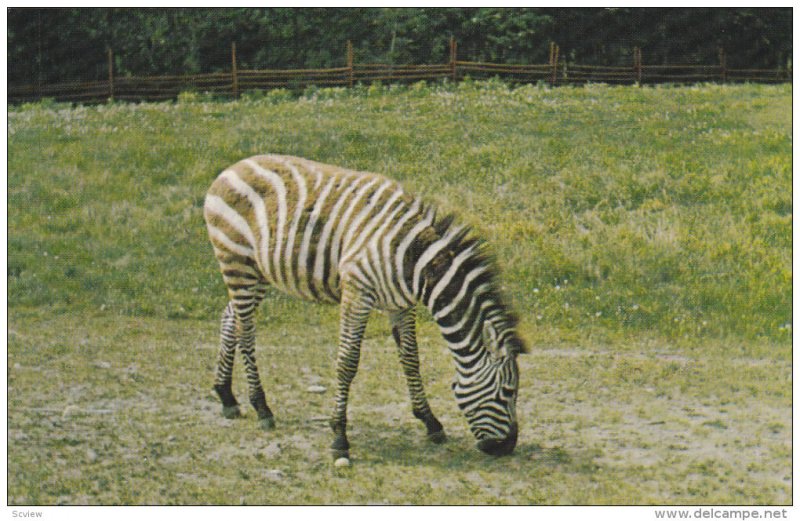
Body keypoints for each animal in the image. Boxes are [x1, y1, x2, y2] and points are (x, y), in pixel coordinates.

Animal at [203, 153, 528, 460]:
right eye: (508, 392)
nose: (507, 448)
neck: (414, 261)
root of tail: (231, 168)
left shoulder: (400, 304)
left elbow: (411, 359)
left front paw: (430, 421)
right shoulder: (357, 293)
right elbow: (347, 362)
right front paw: (339, 437)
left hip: (257, 271)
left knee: (230, 318)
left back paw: (226, 397)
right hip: (236, 260)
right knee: (246, 332)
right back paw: (261, 407)